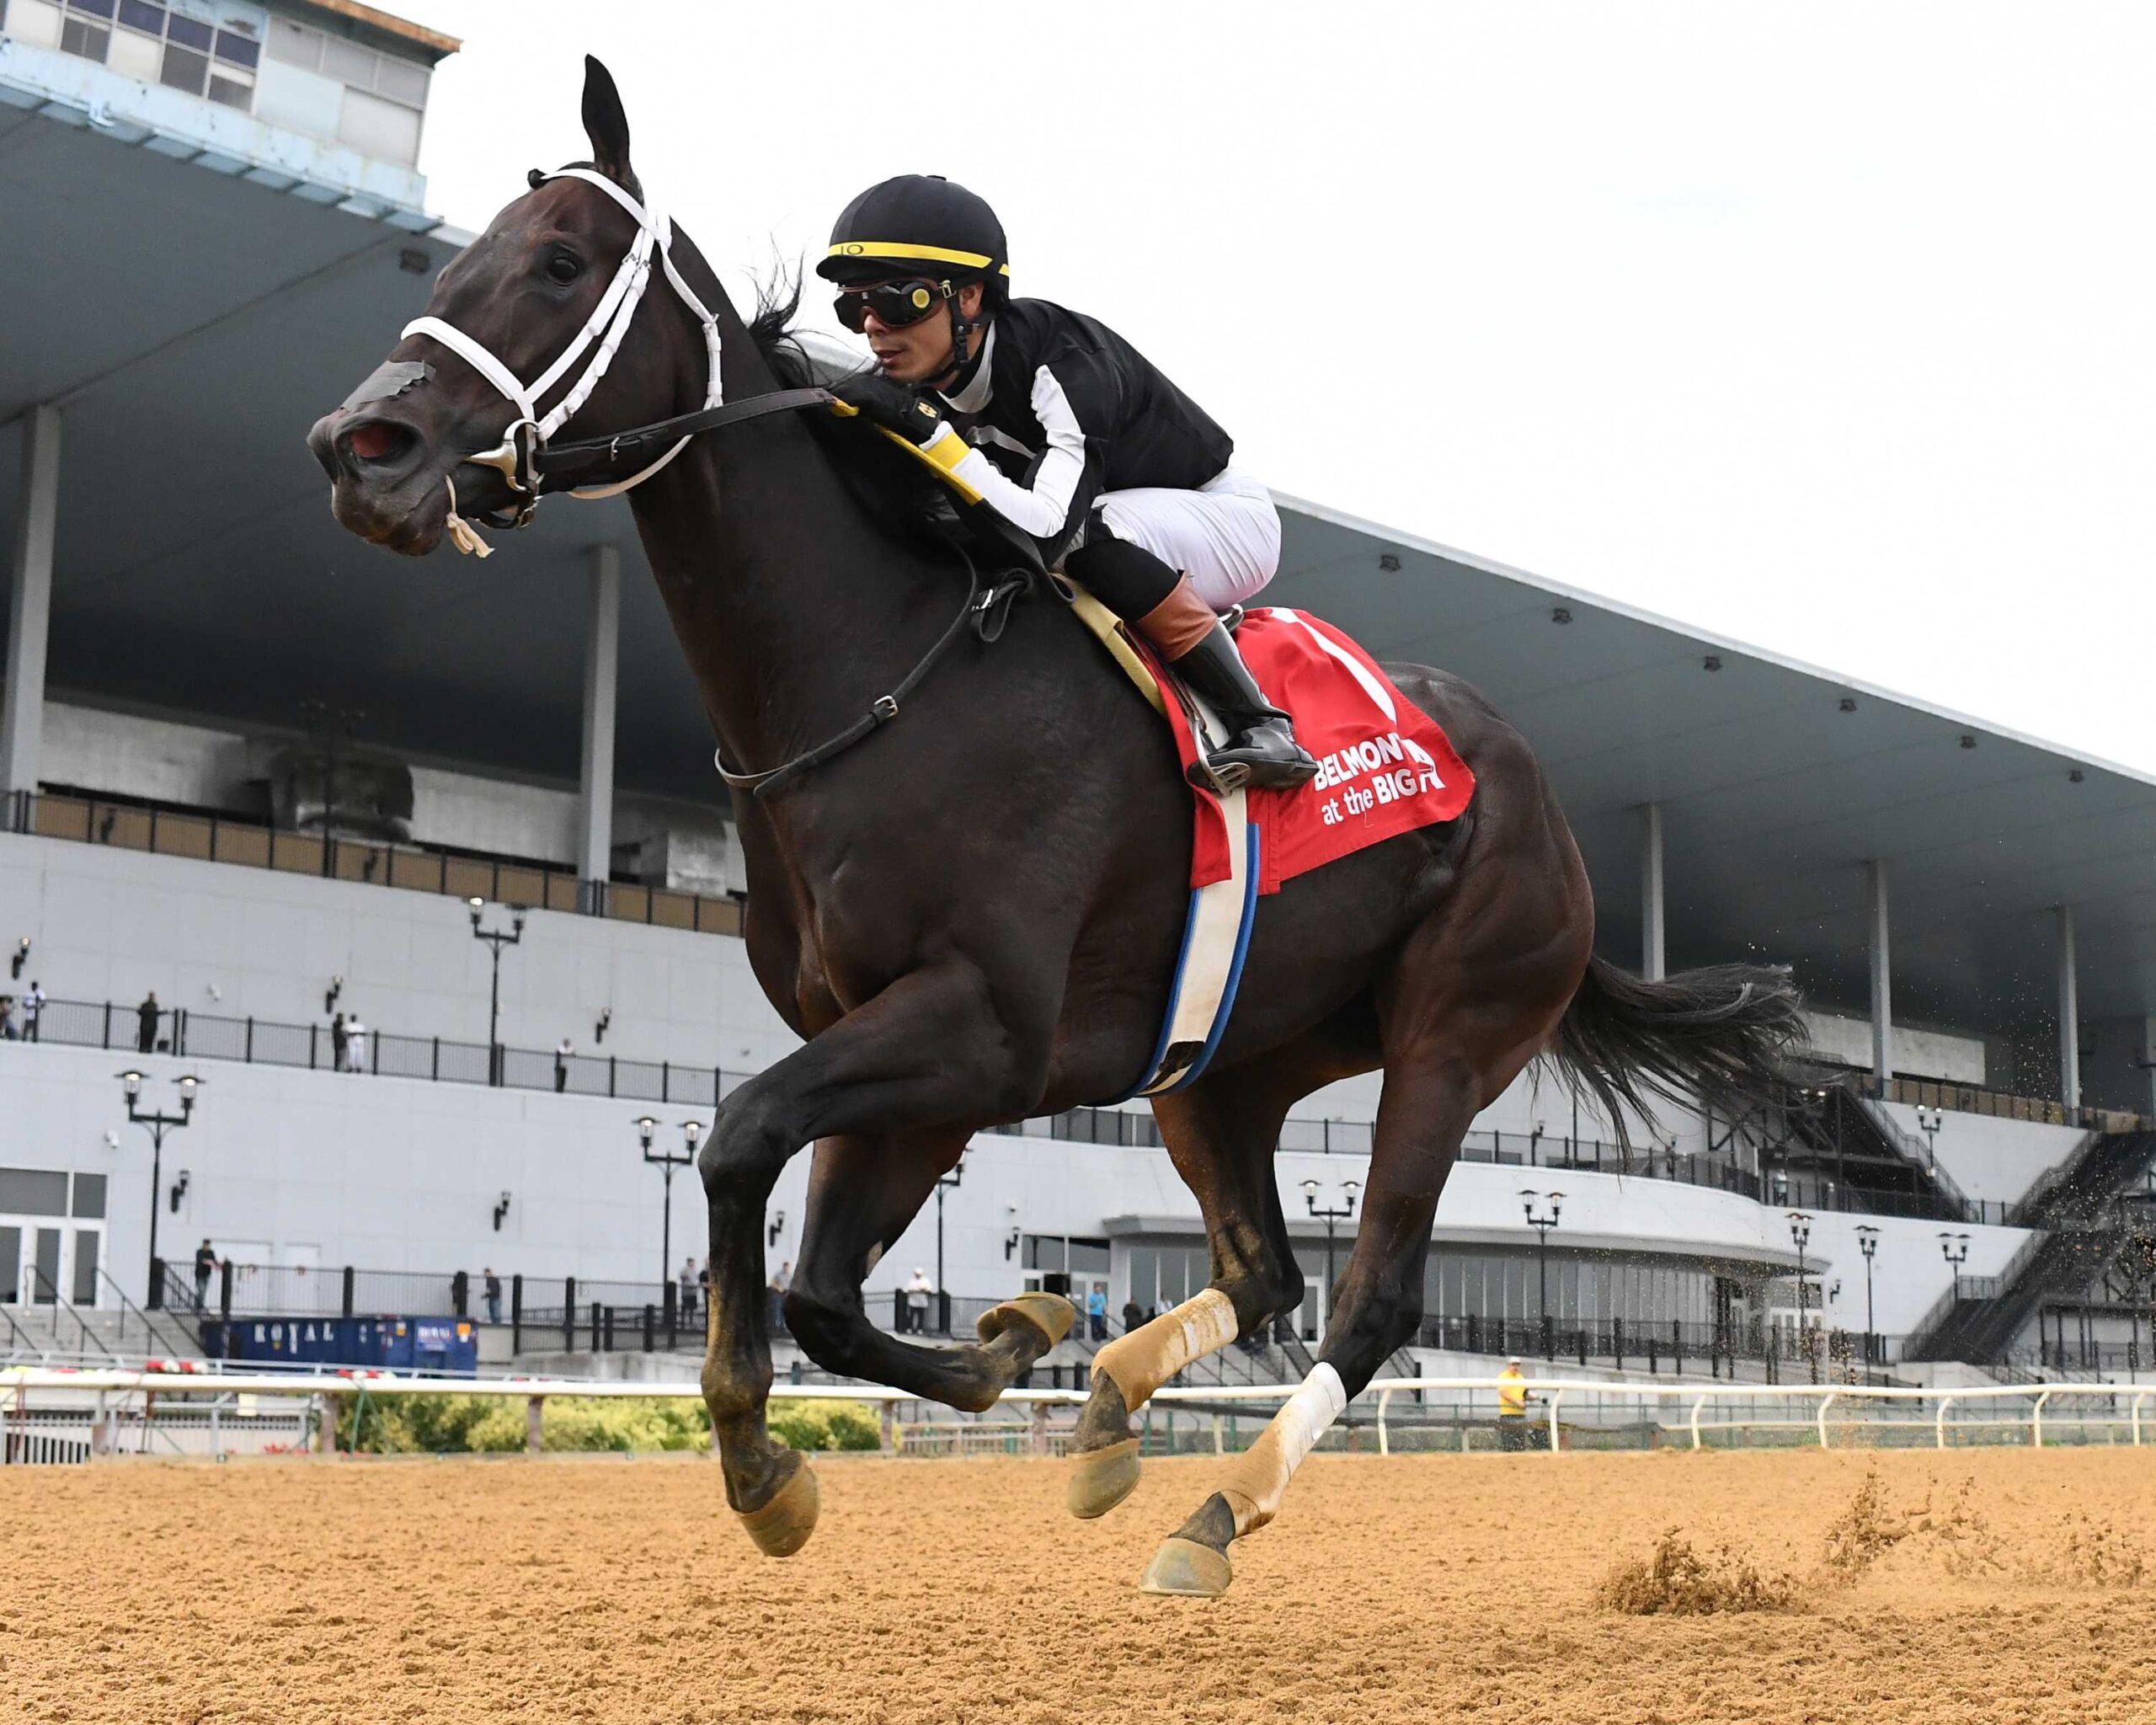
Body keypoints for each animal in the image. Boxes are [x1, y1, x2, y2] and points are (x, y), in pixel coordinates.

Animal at [307, 58, 1800, 1597]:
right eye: (458, 264)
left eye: (557, 262)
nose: (361, 450)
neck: (877, 673)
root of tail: (1541, 798)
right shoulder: (910, 1049)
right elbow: (821, 1290)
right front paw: (988, 1353)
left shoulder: (981, 1023)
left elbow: (735, 1138)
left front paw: (786, 1452)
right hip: (1224, 1061)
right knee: (1265, 1268)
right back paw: (1105, 1415)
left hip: (1454, 1027)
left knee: (1371, 1296)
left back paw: (1217, 1511)